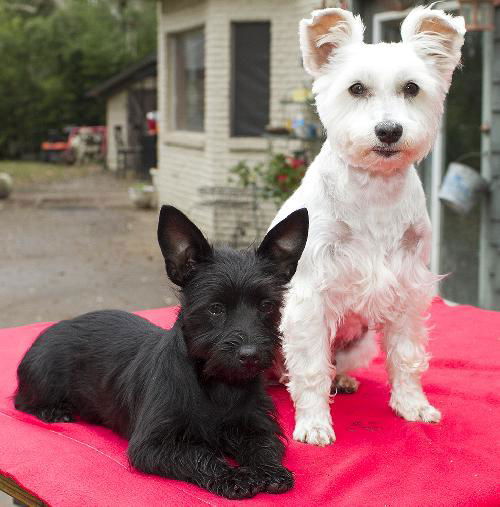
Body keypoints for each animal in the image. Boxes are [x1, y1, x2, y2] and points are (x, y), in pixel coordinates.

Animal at [14, 205, 308, 500]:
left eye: (267, 306)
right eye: (215, 308)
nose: (250, 354)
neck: (218, 386)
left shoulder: (257, 425)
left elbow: (264, 446)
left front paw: (269, 471)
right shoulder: (151, 445)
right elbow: (200, 454)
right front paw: (233, 476)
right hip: (43, 378)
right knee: (22, 402)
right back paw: (54, 411)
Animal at [272, 5, 466, 446]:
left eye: (412, 88)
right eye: (356, 88)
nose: (389, 131)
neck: (375, 190)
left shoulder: (409, 288)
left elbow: (407, 355)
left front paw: (412, 406)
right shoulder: (310, 297)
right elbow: (310, 367)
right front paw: (314, 423)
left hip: (358, 344)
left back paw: (343, 379)